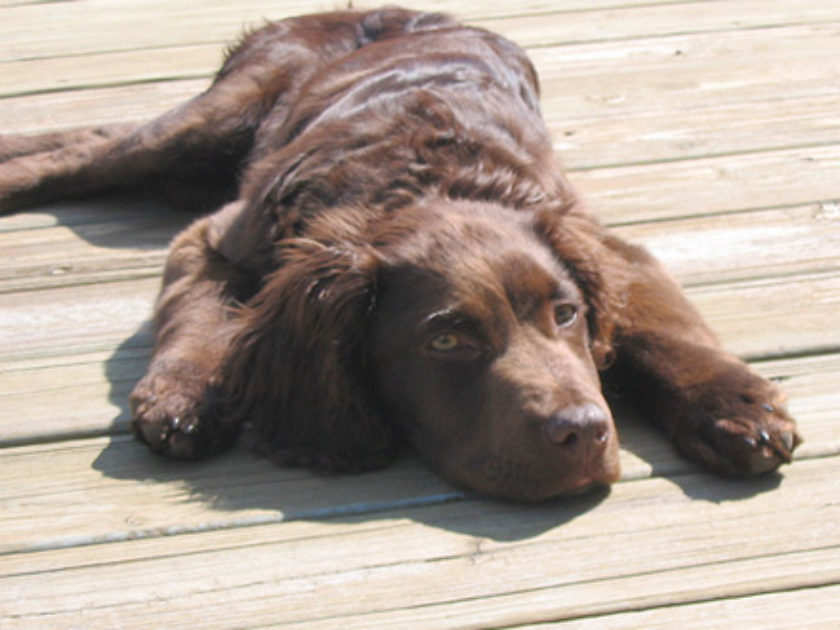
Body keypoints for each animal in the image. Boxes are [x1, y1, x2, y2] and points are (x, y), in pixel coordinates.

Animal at [1, 8, 800, 504]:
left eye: (567, 314)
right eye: (445, 341)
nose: (584, 433)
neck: (422, 180)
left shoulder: (603, 245)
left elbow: (663, 331)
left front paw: (735, 409)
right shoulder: (218, 237)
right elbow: (198, 314)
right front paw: (184, 393)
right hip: (219, 116)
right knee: (91, 149)